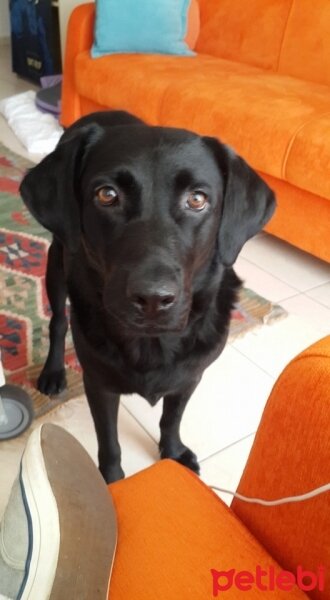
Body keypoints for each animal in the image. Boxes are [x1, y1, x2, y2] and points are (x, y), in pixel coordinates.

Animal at [19, 111, 274, 482]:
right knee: (58, 322)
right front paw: (111, 480)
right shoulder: (99, 383)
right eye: (107, 194)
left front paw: (173, 452)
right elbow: (108, 441)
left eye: (197, 199)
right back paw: (53, 373)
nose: (153, 299)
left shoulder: (189, 377)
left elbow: (171, 418)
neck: (152, 342)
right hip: (57, 261)